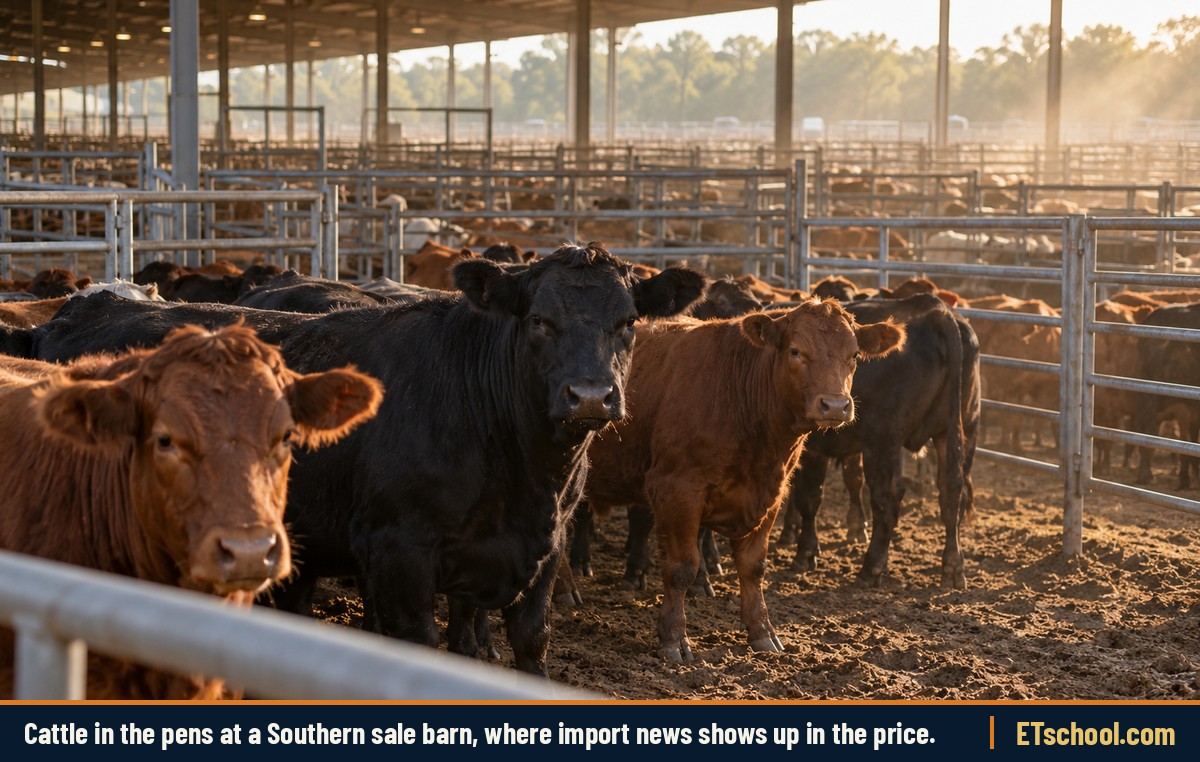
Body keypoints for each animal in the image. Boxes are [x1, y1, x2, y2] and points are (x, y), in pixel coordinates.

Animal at [583, 300, 905, 661]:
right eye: (795, 351)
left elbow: (754, 567)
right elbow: (682, 568)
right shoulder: (676, 490)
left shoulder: (771, 494)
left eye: (853, 354)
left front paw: (762, 632)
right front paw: (674, 638)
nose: (835, 405)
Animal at [779, 294, 980, 589]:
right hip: (962, 429)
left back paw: (871, 566)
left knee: (887, 496)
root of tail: (937, 311)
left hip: (884, 439)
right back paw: (953, 567)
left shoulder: (815, 447)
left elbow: (809, 496)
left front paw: (804, 551)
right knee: (952, 491)